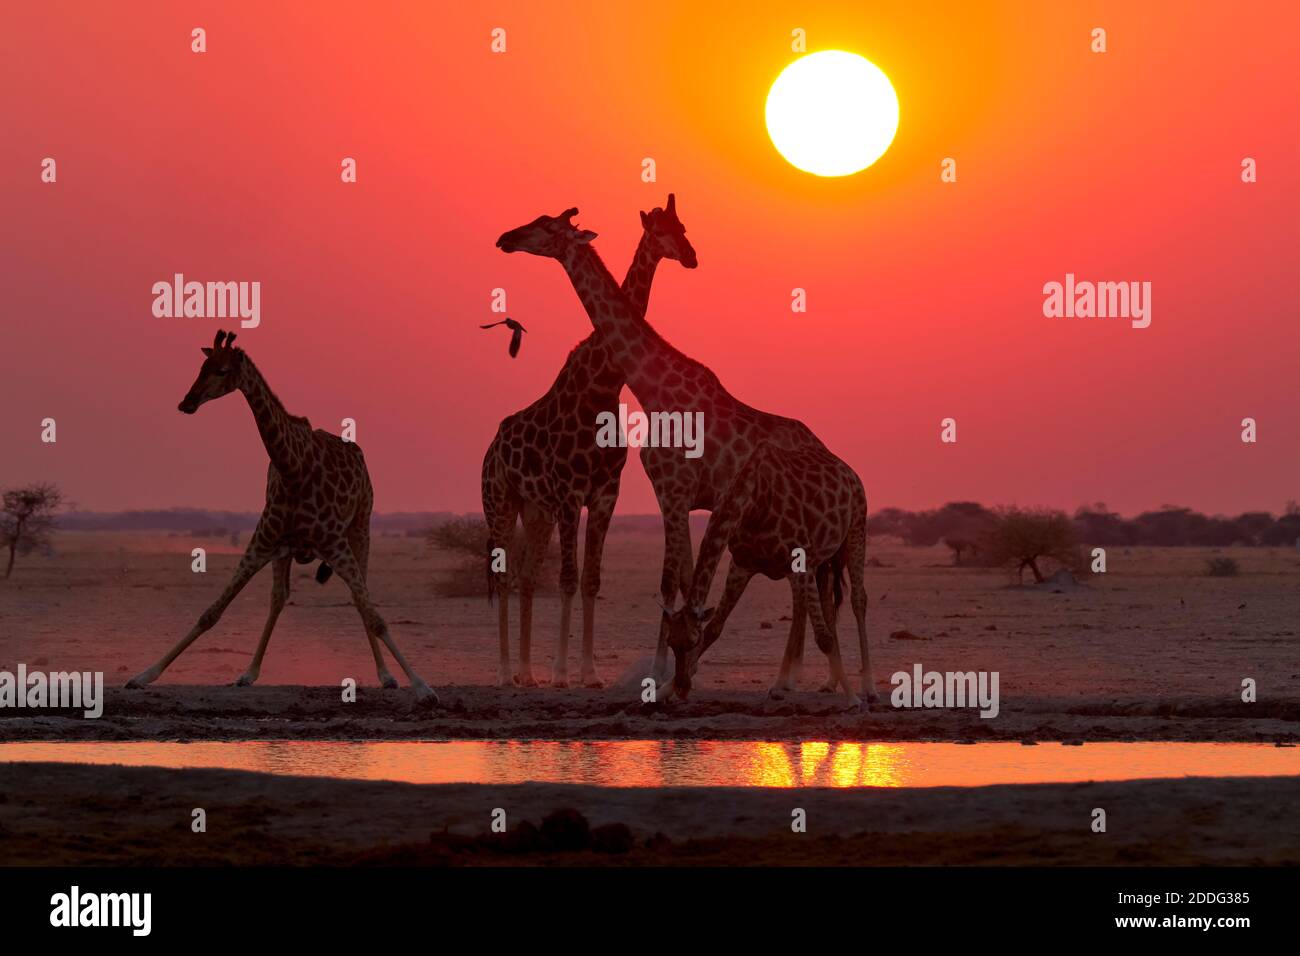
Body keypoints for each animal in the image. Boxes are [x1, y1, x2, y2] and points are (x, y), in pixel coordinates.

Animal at [123, 329, 436, 702]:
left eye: (222, 370)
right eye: (201, 367)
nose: (187, 402)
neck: (293, 468)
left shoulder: (335, 544)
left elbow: (375, 615)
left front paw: (421, 686)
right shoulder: (262, 542)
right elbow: (211, 612)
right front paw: (143, 675)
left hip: (361, 528)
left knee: (362, 599)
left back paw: (386, 675)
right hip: (285, 552)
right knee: (279, 598)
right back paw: (249, 673)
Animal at [483, 197, 696, 686]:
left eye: (682, 227)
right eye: (662, 230)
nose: (506, 238)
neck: (603, 383)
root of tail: (491, 448)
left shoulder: (603, 493)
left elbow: (590, 581)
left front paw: (589, 672)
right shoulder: (568, 493)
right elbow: (567, 578)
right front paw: (564, 673)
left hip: (535, 508)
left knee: (525, 575)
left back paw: (527, 673)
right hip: (499, 499)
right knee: (502, 577)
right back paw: (504, 672)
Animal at [665, 439, 878, 702]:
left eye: (694, 642)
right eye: (671, 643)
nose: (682, 687)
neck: (755, 502)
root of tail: (851, 473)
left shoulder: (802, 560)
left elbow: (824, 638)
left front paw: (852, 698)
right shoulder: (742, 565)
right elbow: (715, 627)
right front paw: (664, 690)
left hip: (856, 528)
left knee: (858, 599)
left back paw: (869, 688)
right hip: (822, 559)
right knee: (821, 606)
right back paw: (817, 684)